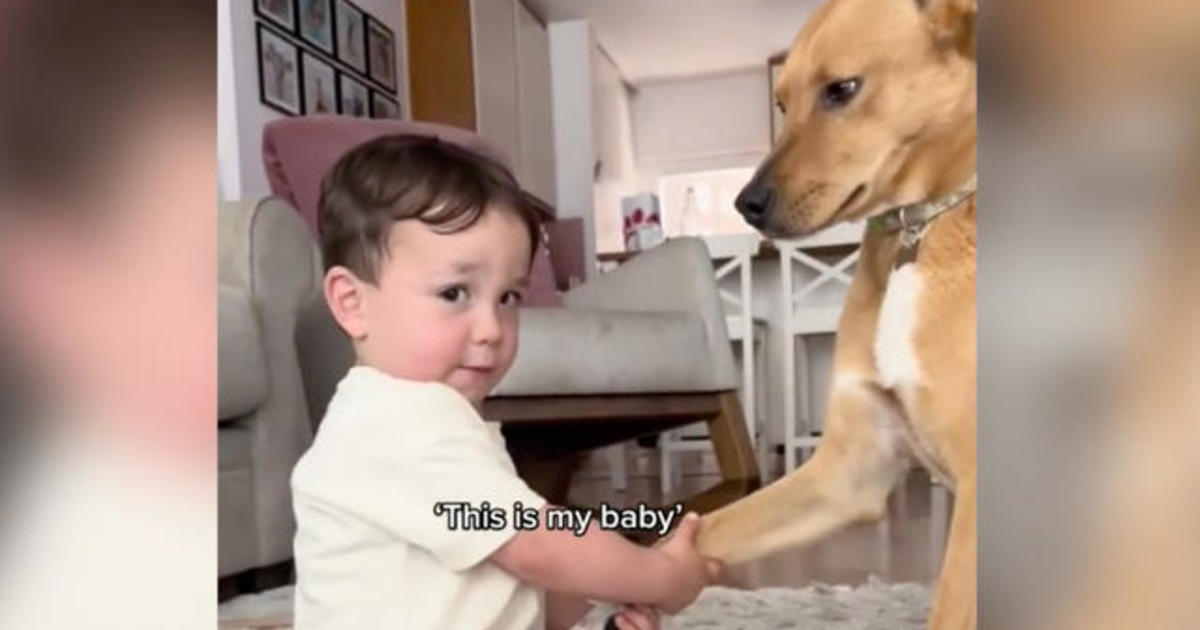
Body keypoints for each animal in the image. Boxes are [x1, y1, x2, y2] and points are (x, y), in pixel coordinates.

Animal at [700, 0, 979, 624]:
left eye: (842, 89)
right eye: (781, 104)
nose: (745, 206)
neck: (916, 229)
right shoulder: (848, 471)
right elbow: (707, 527)